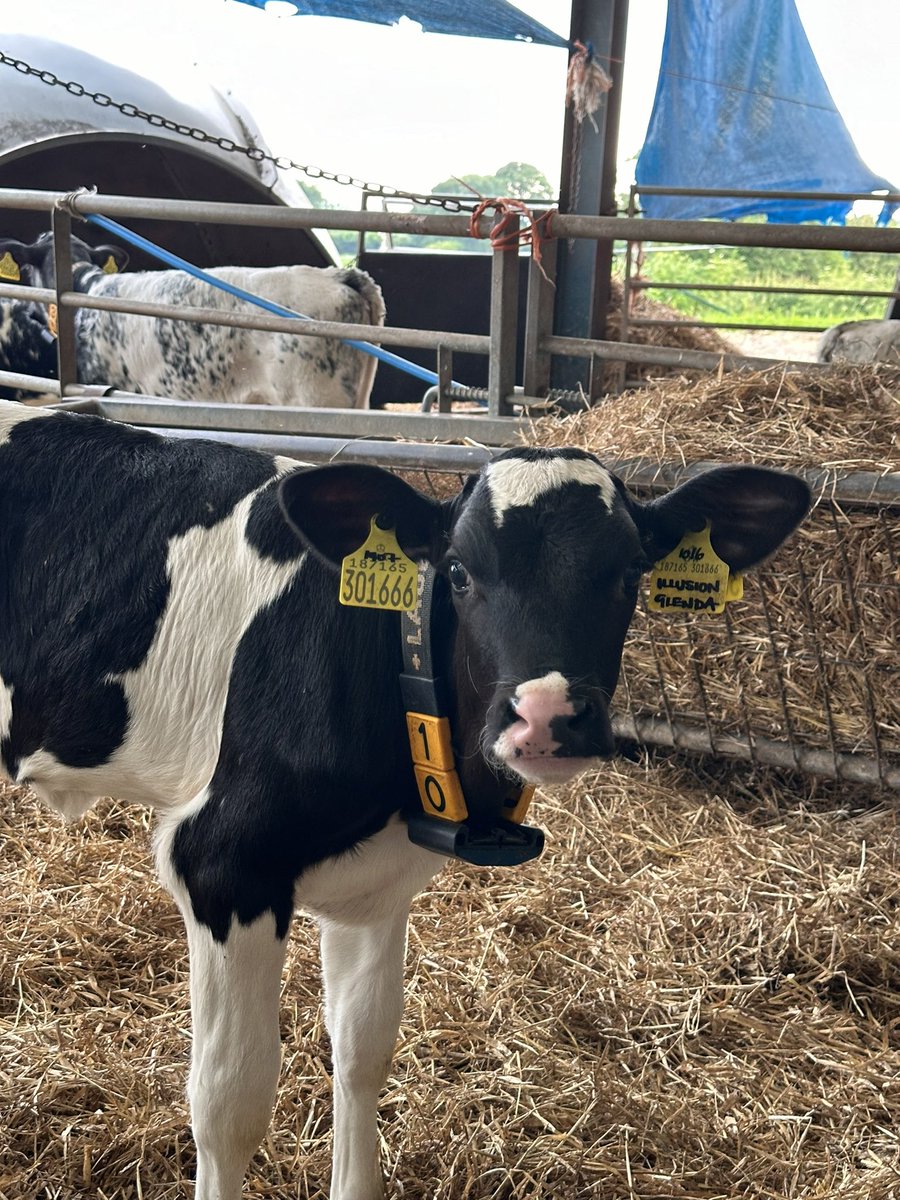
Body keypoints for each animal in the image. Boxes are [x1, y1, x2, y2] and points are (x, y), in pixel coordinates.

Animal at [0, 398, 811, 1199]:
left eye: (632, 571)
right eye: (458, 572)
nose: (547, 715)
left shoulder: (381, 881)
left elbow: (363, 1053)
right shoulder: (223, 864)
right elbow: (230, 1104)